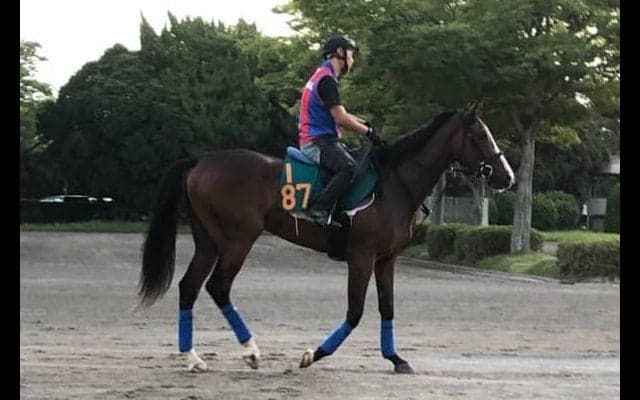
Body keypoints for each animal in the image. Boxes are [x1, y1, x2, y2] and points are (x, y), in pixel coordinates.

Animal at [137, 100, 516, 374]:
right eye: (481, 136)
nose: (508, 176)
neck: (394, 183)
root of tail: (201, 160)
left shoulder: (386, 260)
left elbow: (387, 307)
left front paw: (396, 359)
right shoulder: (361, 258)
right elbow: (355, 312)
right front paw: (313, 354)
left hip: (209, 242)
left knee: (189, 287)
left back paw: (193, 358)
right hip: (238, 241)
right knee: (218, 287)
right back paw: (251, 351)